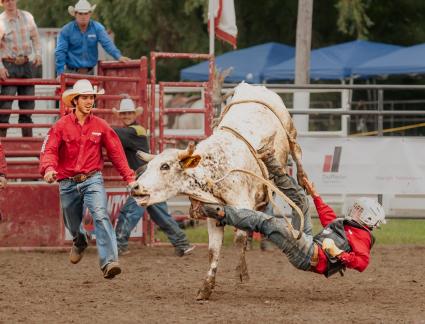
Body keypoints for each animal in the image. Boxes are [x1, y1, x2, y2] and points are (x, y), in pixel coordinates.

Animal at [131, 82, 304, 300]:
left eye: (165, 166)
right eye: (150, 165)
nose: (134, 187)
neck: (214, 171)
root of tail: (254, 86)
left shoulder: (243, 205)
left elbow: (239, 238)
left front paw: (241, 273)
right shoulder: (214, 216)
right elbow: (213, 251)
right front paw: (206, 288)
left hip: (291, 134)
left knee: (298, 159)